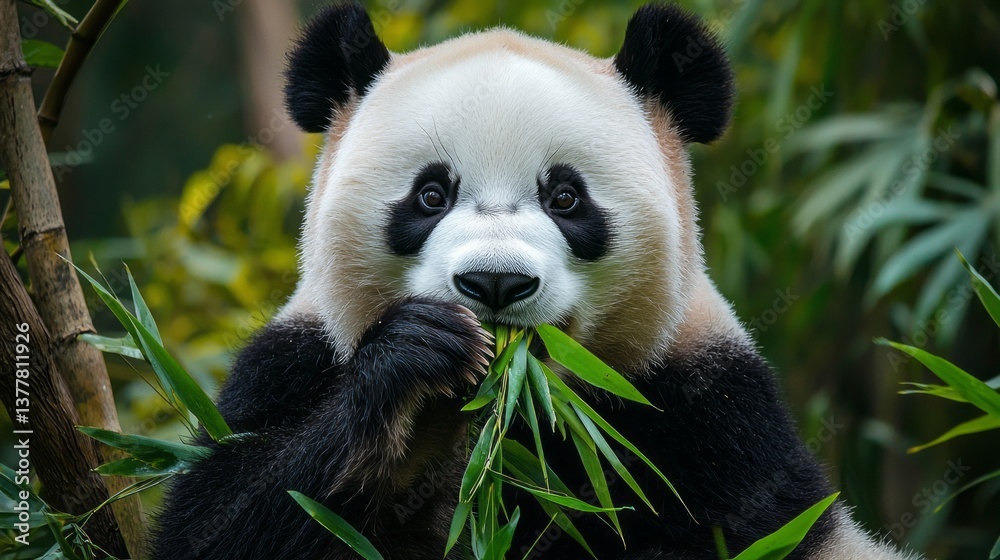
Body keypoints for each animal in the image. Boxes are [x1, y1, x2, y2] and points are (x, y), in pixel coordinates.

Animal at [153, 3, 918, 559]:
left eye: (566, 198)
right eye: (431, 195)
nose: (495, 283)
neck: (509, 411)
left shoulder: (712, 415)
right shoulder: (295, 363)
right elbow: (218, 520)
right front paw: (413, 356)